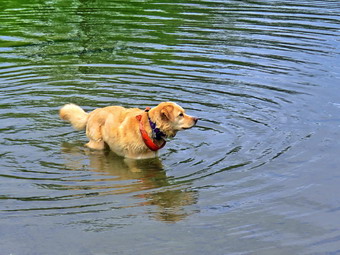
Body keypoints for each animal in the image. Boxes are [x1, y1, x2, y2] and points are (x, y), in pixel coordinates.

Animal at [58, 101, 197, 157]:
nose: (197, 118)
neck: (151, 127)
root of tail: (92, 113)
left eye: (184, 112)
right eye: (180, 114)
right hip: (97, 144)